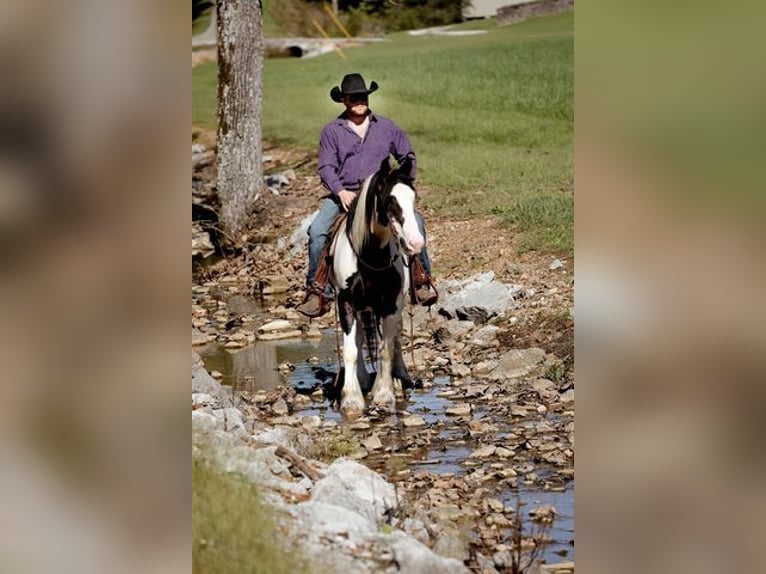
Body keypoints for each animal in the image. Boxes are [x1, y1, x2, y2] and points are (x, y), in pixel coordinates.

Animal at [330, 158, 426, 418]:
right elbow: (351, 350)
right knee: (359, 338)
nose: (416, 243)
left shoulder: (392, 304)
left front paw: (384, 394)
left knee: (393, 339)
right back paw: (362, 380)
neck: (369, 255)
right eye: (390, 201)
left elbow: (386, 348)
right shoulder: (346, 302)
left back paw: (400, 375)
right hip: (361, 307)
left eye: (413, 198)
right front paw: (351, 400)